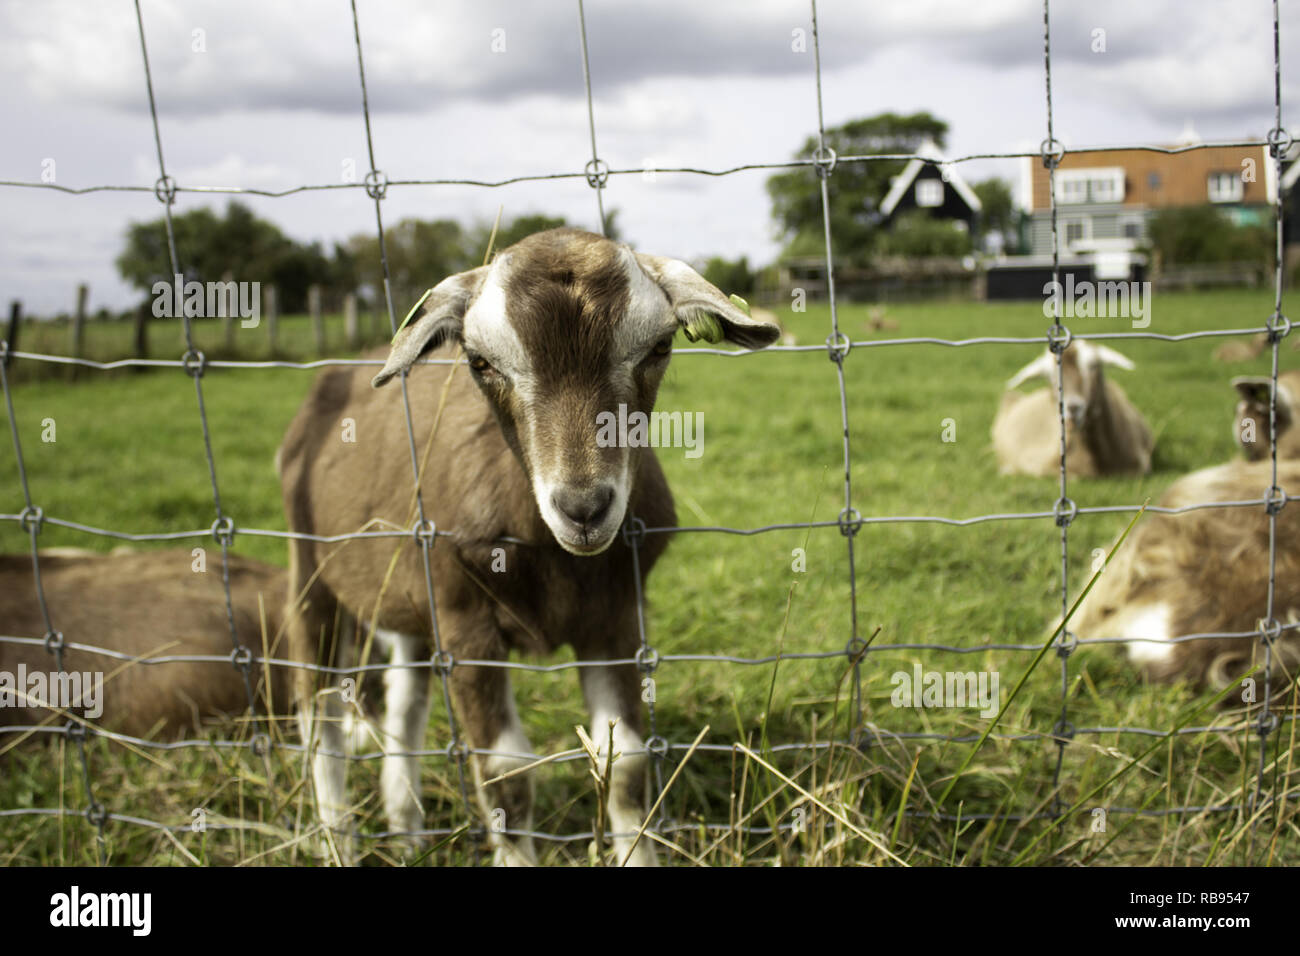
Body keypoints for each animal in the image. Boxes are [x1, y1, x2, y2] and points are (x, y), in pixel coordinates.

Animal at [278, 227, 779, 866]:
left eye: (660, 346)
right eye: (479, 361)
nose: (584, 508)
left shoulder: (616, 616)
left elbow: (626, 763)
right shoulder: (467, 622)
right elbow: (505, 773)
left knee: (407, 701)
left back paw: (408, 827)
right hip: (310, 568)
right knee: (318, 706)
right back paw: (339, 840)